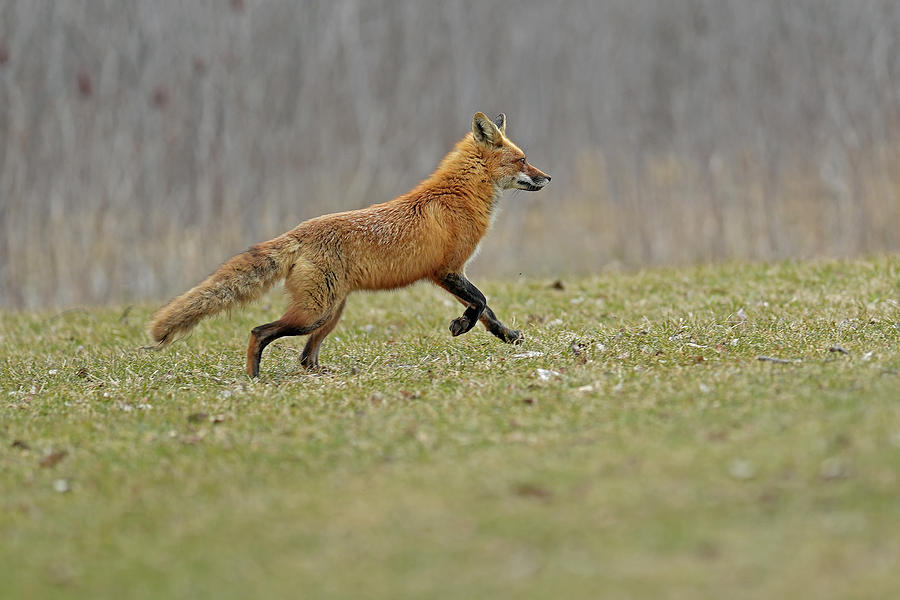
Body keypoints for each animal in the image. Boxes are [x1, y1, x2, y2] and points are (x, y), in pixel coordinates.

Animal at [149, 112, 548, 376]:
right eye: (523, 160)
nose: (548, 177)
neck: (459, 195)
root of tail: (299, 231)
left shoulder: (450, 273)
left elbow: (487, 311)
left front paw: (508, 336)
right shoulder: (446, 270)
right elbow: (480, 302)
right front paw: (461, 326)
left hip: (330, 313)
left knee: (305, 357)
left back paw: (320, 375)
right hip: (314, 314)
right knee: (259, 332)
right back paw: (253, 377)